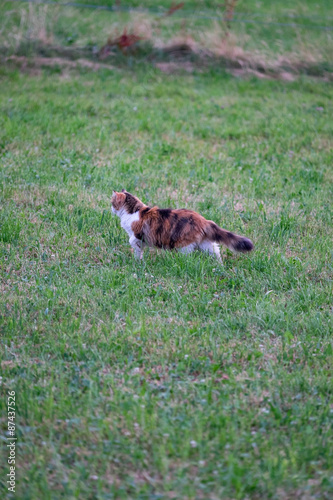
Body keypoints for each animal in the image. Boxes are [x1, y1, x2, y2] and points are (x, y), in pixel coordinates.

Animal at [110, 189, 253, 264]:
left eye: (112, 203)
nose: (110, 209)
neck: (134, 211)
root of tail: (203, 220)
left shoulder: (136, 236)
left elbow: (135, 247)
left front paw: (137, 262)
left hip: (184, 246)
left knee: (188, 257)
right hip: (205, 244)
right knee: (216, 252)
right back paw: (219, 265)